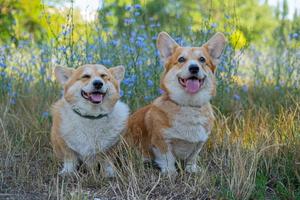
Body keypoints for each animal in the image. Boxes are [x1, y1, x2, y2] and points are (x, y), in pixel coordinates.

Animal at [124, 32, 225, 174]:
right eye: (181, 59)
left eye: (202, 59)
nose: (194, 68)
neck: (188, 105)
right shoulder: (161, 141)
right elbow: (167, 158)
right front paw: (170, 172)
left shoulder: (200, 142)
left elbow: (193, 156)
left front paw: (192, 168)